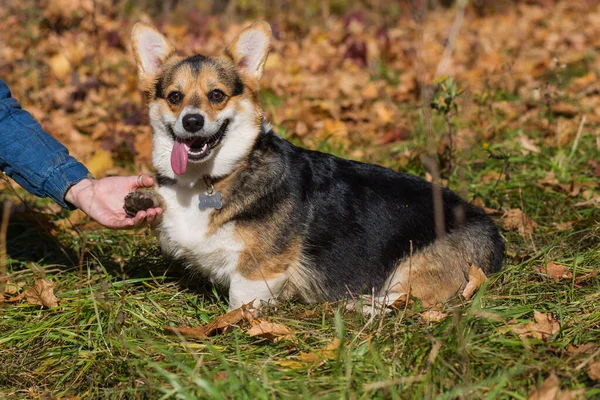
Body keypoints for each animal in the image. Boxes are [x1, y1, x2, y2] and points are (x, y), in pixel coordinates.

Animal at [127, 21, 506, 312]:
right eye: (175, 97)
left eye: (217, 95)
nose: (192, 121)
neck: (209, 180)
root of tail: (495, 235)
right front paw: (143, 200)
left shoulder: (257, 273)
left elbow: (240, 303)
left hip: (414, 267)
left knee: (406, 303)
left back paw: (358, 305)